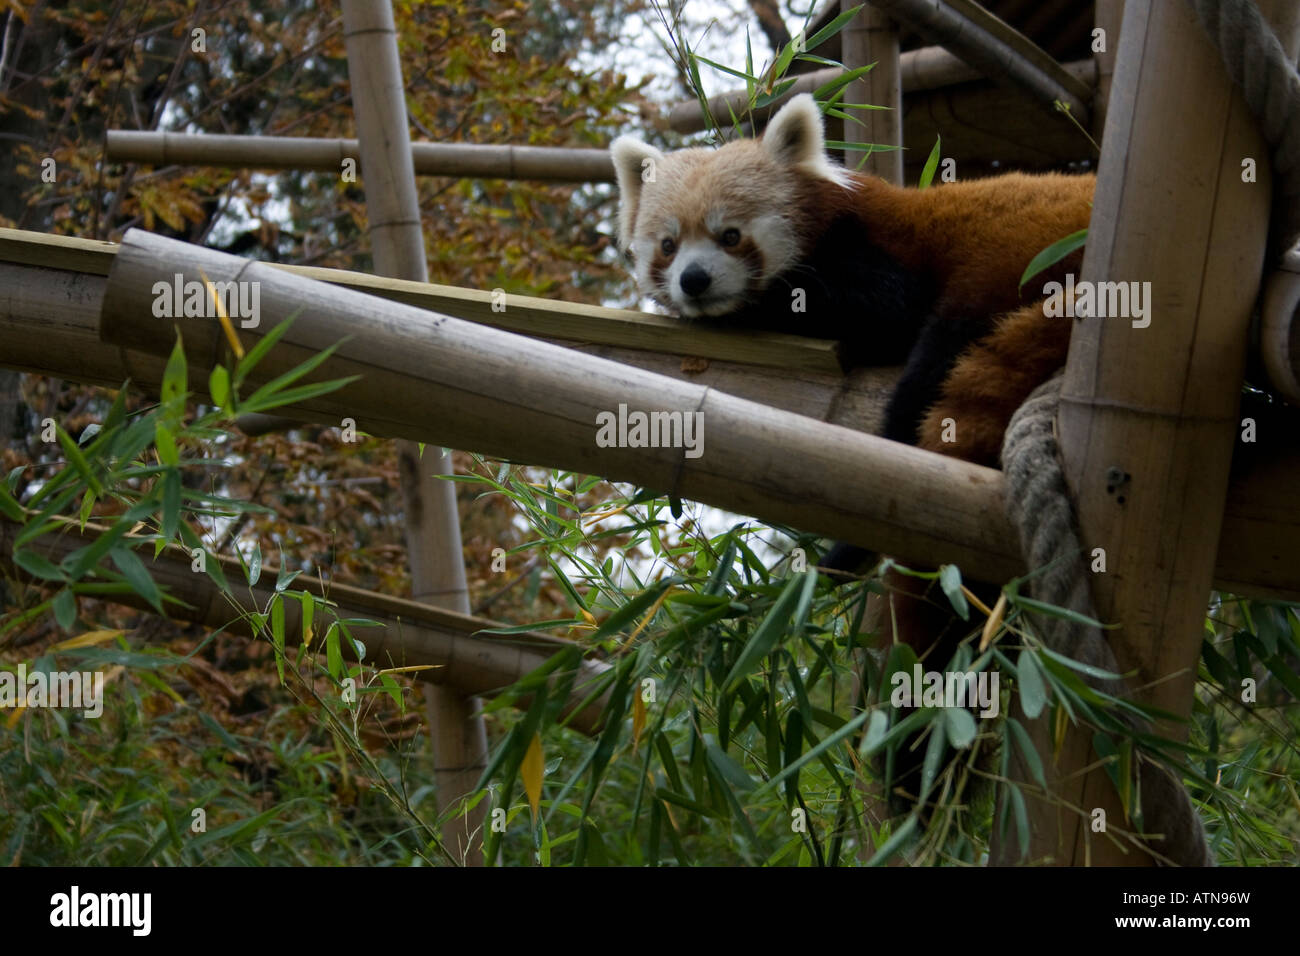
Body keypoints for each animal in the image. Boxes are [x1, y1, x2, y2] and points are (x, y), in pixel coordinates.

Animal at [613, 89, 1092, 811]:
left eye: (731, 235)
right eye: (667, 245)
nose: (694, 281)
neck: (839, 216)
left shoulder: (876, 260)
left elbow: (870, 310)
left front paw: (742, 306)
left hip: (1010, 271)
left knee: (927, 391)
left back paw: (845, 552)